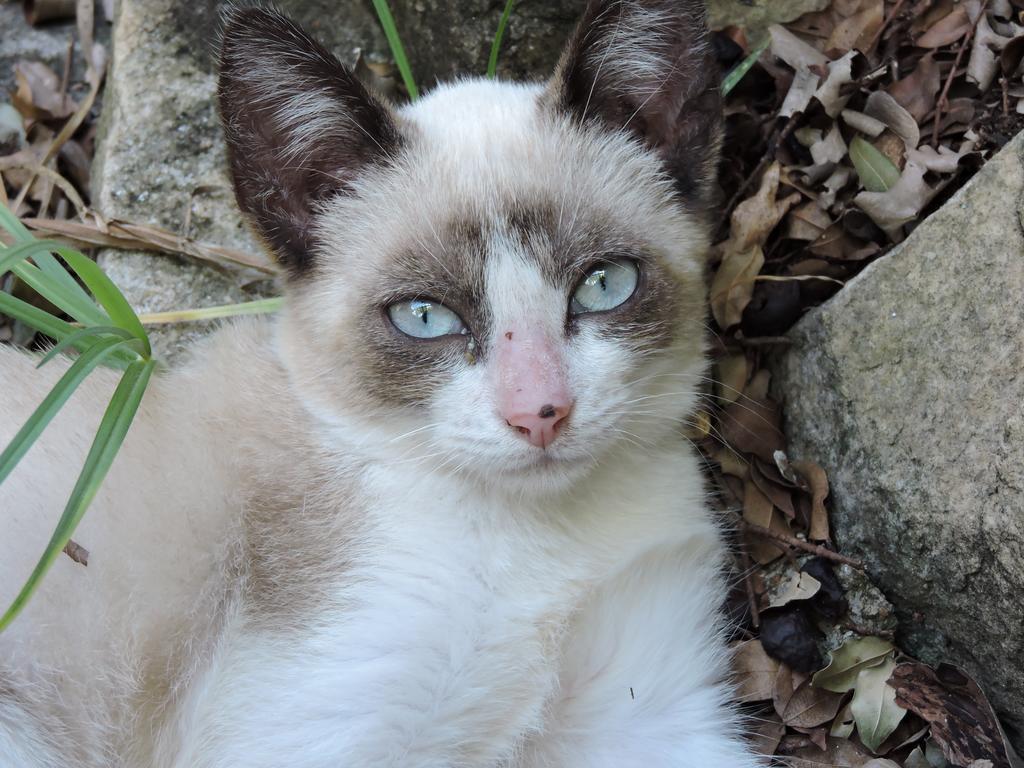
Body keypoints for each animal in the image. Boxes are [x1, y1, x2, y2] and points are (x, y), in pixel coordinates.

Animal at [0, 3, 765, 765]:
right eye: (425, 317)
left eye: (604, 284)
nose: (540, 413)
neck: (543, 539)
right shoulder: (322, 730)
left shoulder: (651, 716)